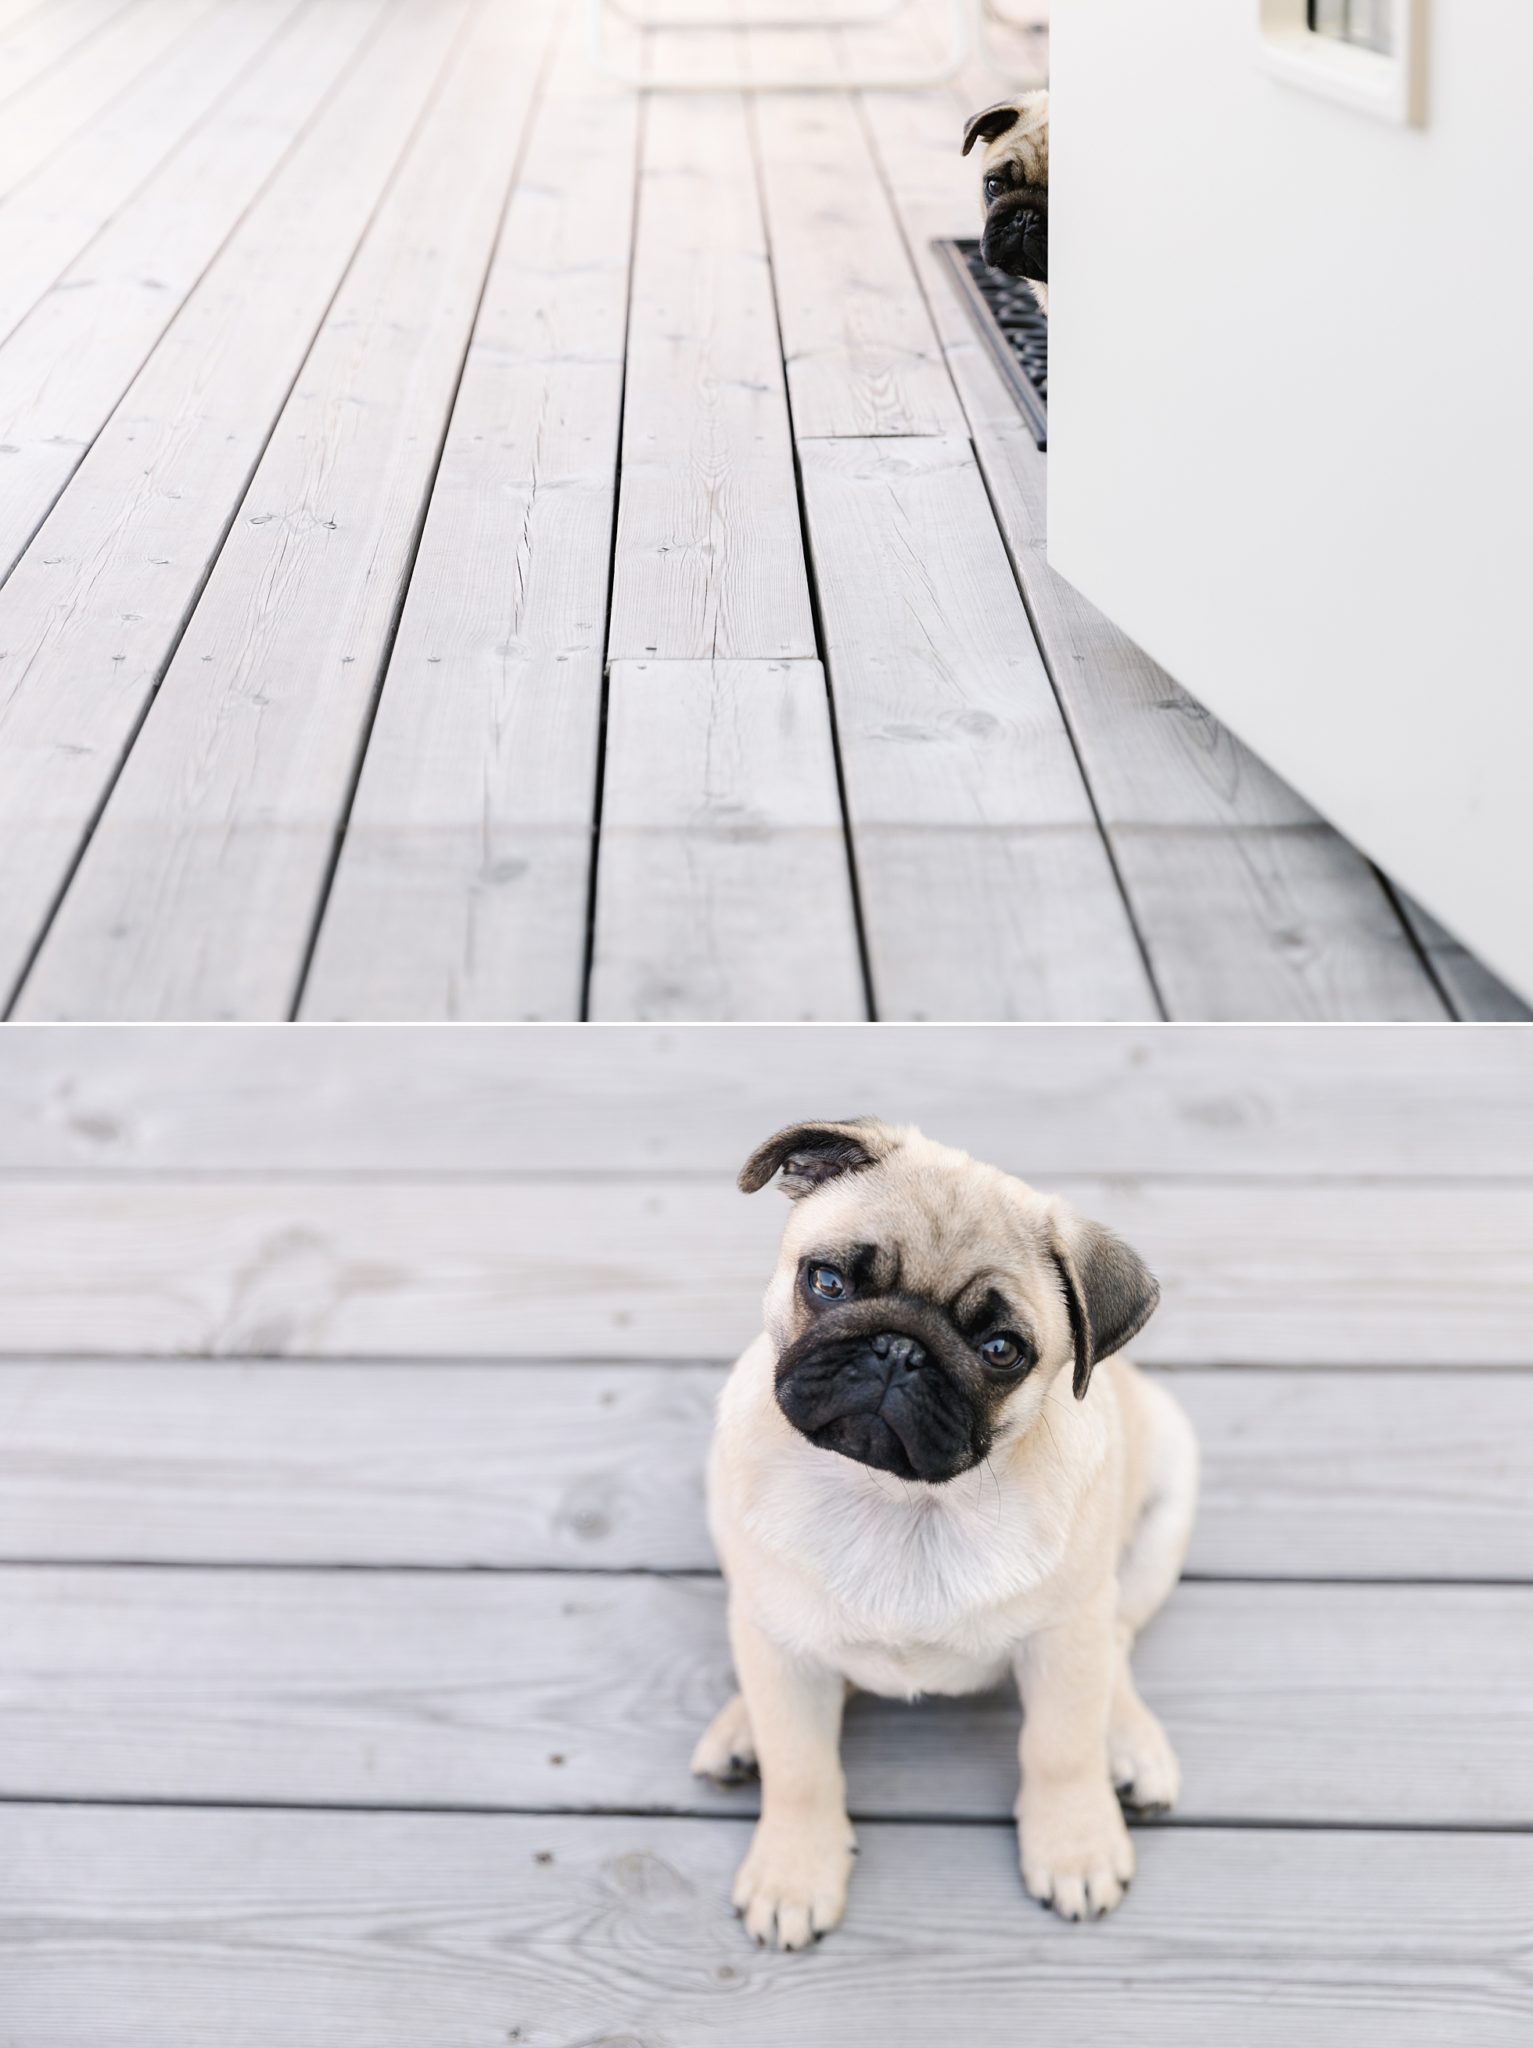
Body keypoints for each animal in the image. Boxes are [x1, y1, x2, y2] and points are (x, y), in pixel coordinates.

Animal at [691, 1122, 1195, 1949]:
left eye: (1001, 1350)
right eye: (826, 1282)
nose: (899, 1349)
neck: (902, 1503)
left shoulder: (1064, 1637)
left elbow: (1059, 1748)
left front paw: (1075, 1845)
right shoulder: (778, 1639)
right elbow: (801, 1768)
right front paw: (793, 1870)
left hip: (1163, 1508)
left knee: (1116, 1643)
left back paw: (1127, 1741)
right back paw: (741, 1729)